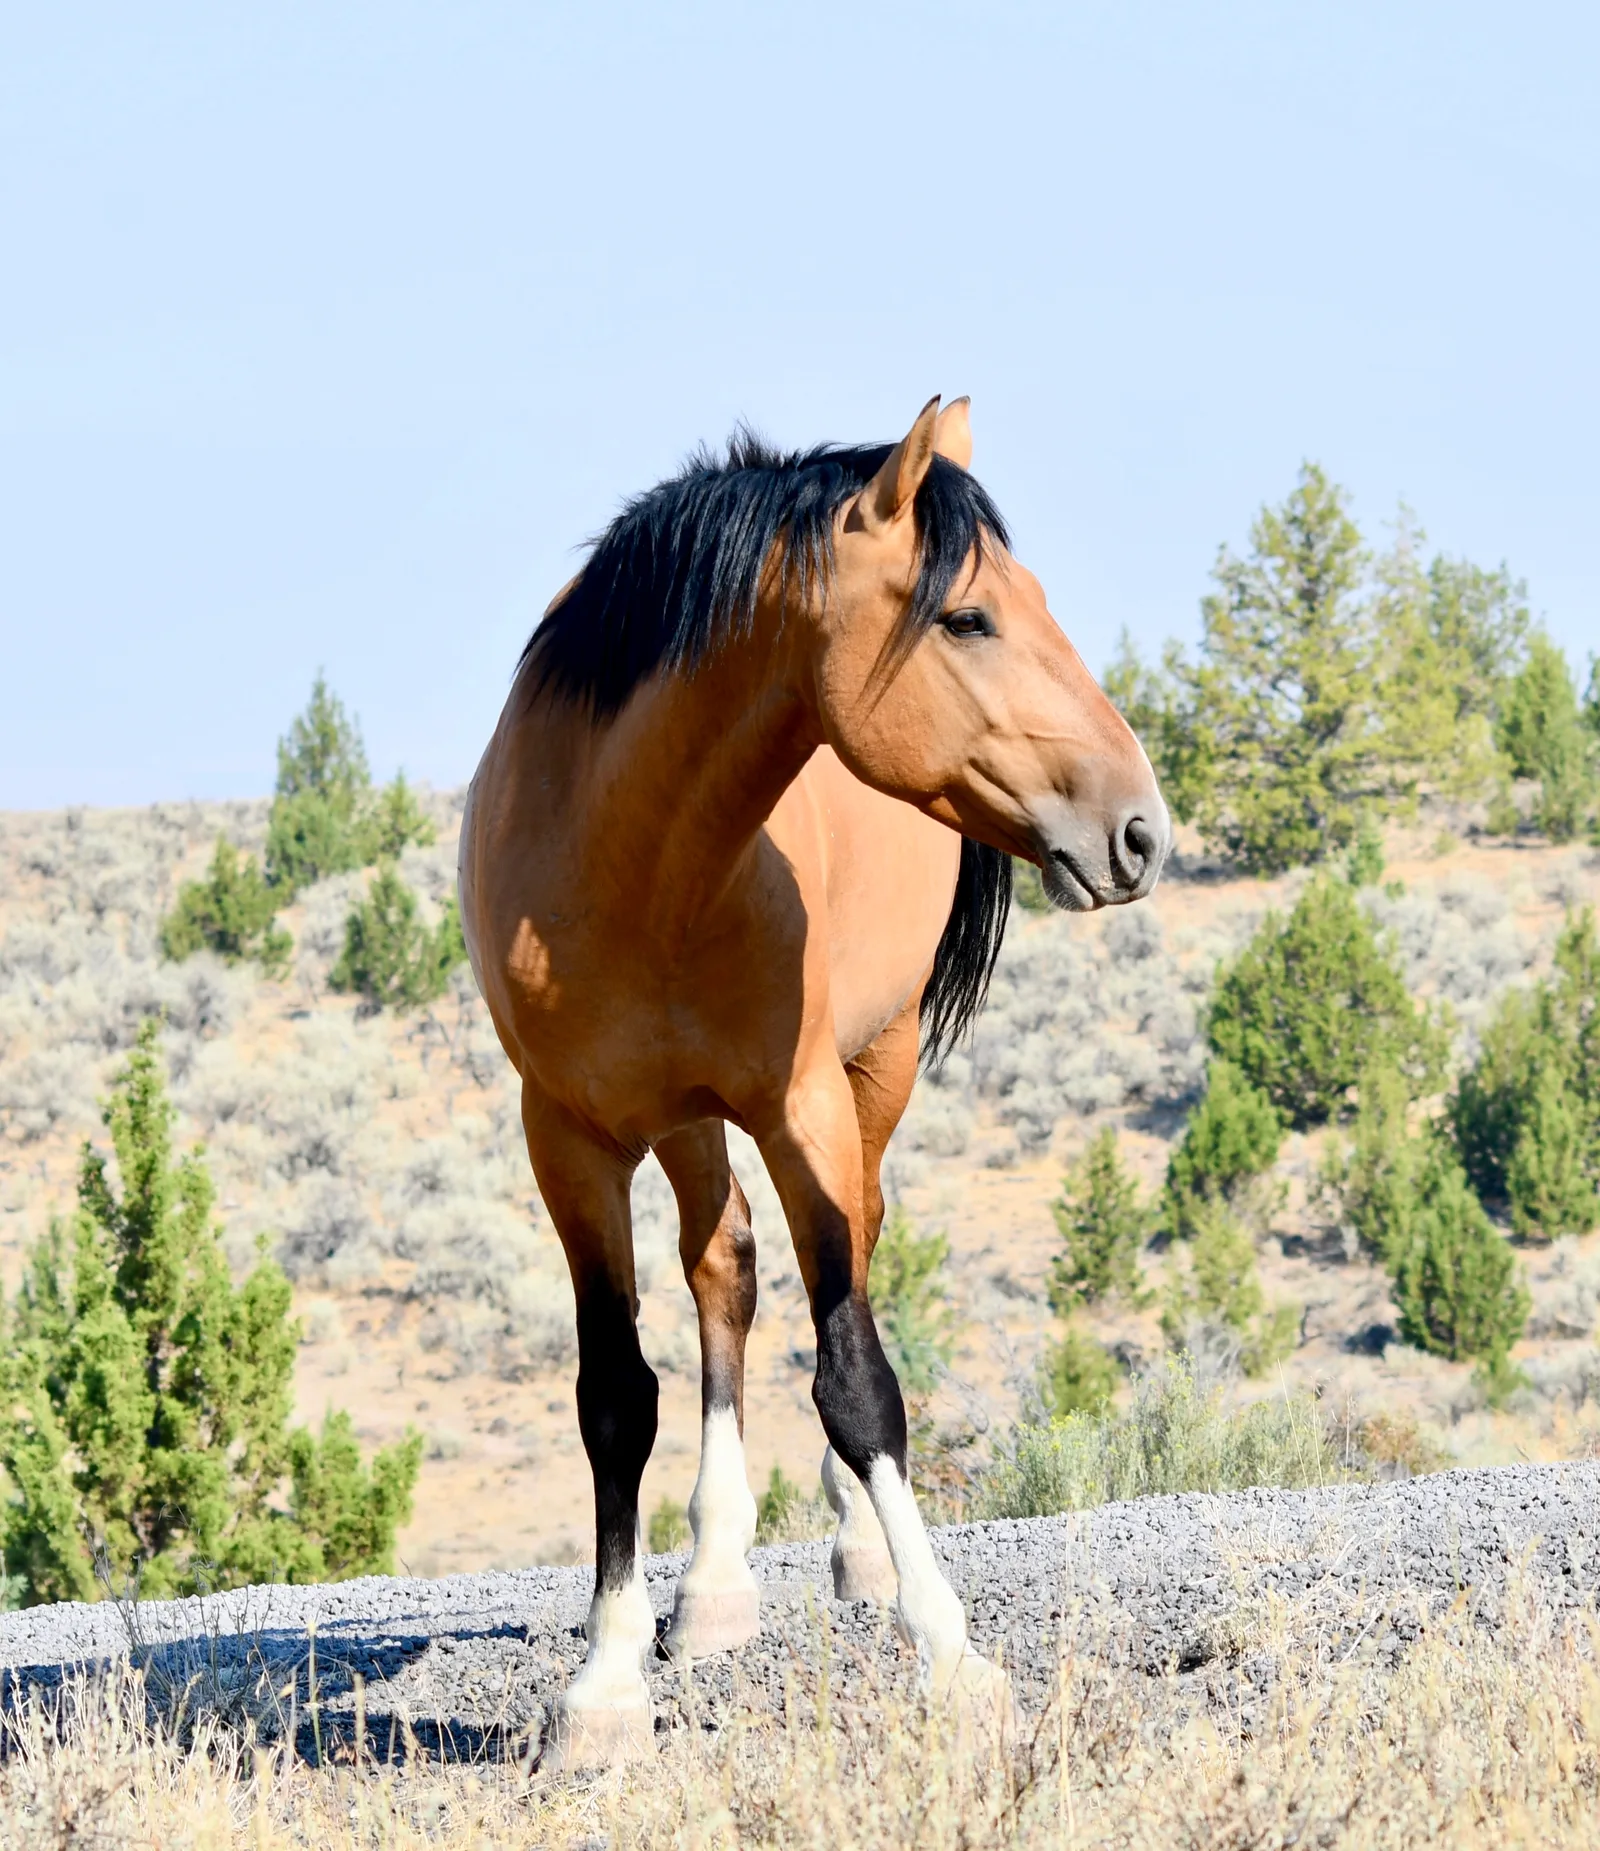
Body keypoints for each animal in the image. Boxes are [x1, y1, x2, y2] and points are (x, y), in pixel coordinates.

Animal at [458, 396, 1170, 1767]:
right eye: (968, 617)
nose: (1139, 829)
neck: (637, 862)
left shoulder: (802, 1112)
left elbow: (857, 1377)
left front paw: (953, 1658)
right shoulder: (568, 1135)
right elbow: (615, 1397)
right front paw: (605, 1684)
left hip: (865, 1078)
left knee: (852, 1251)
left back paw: (855, 1553)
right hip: (680, 1121)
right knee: (722, 1267)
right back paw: (711, 1583)